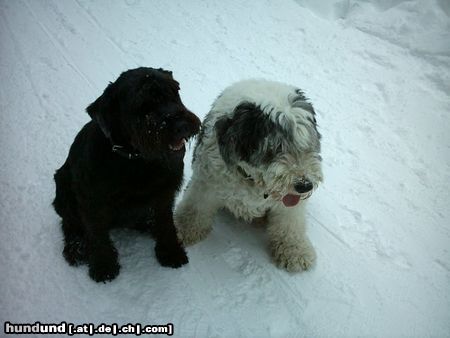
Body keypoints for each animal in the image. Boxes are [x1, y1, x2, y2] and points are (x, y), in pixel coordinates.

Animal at [53, 68, 200, 282]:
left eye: (175, 91)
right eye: (142, 103)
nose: (181, 125)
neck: (135, 160)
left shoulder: (164, 193)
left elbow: (165, 223)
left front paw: (170, 251)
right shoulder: (92, 202)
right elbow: (96, 233)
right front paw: (103, 266)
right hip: (63, 188)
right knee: (70, 223)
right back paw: (77, 248)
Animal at [176, 79, 324, 272]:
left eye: (308, 144)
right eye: (275, 147)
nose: (304, 186)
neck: (252, 179)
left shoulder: (289, 207)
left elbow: (290, 225)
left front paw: (295, 252)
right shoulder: (206, 182)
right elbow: (194, 209)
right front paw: (182, 230)